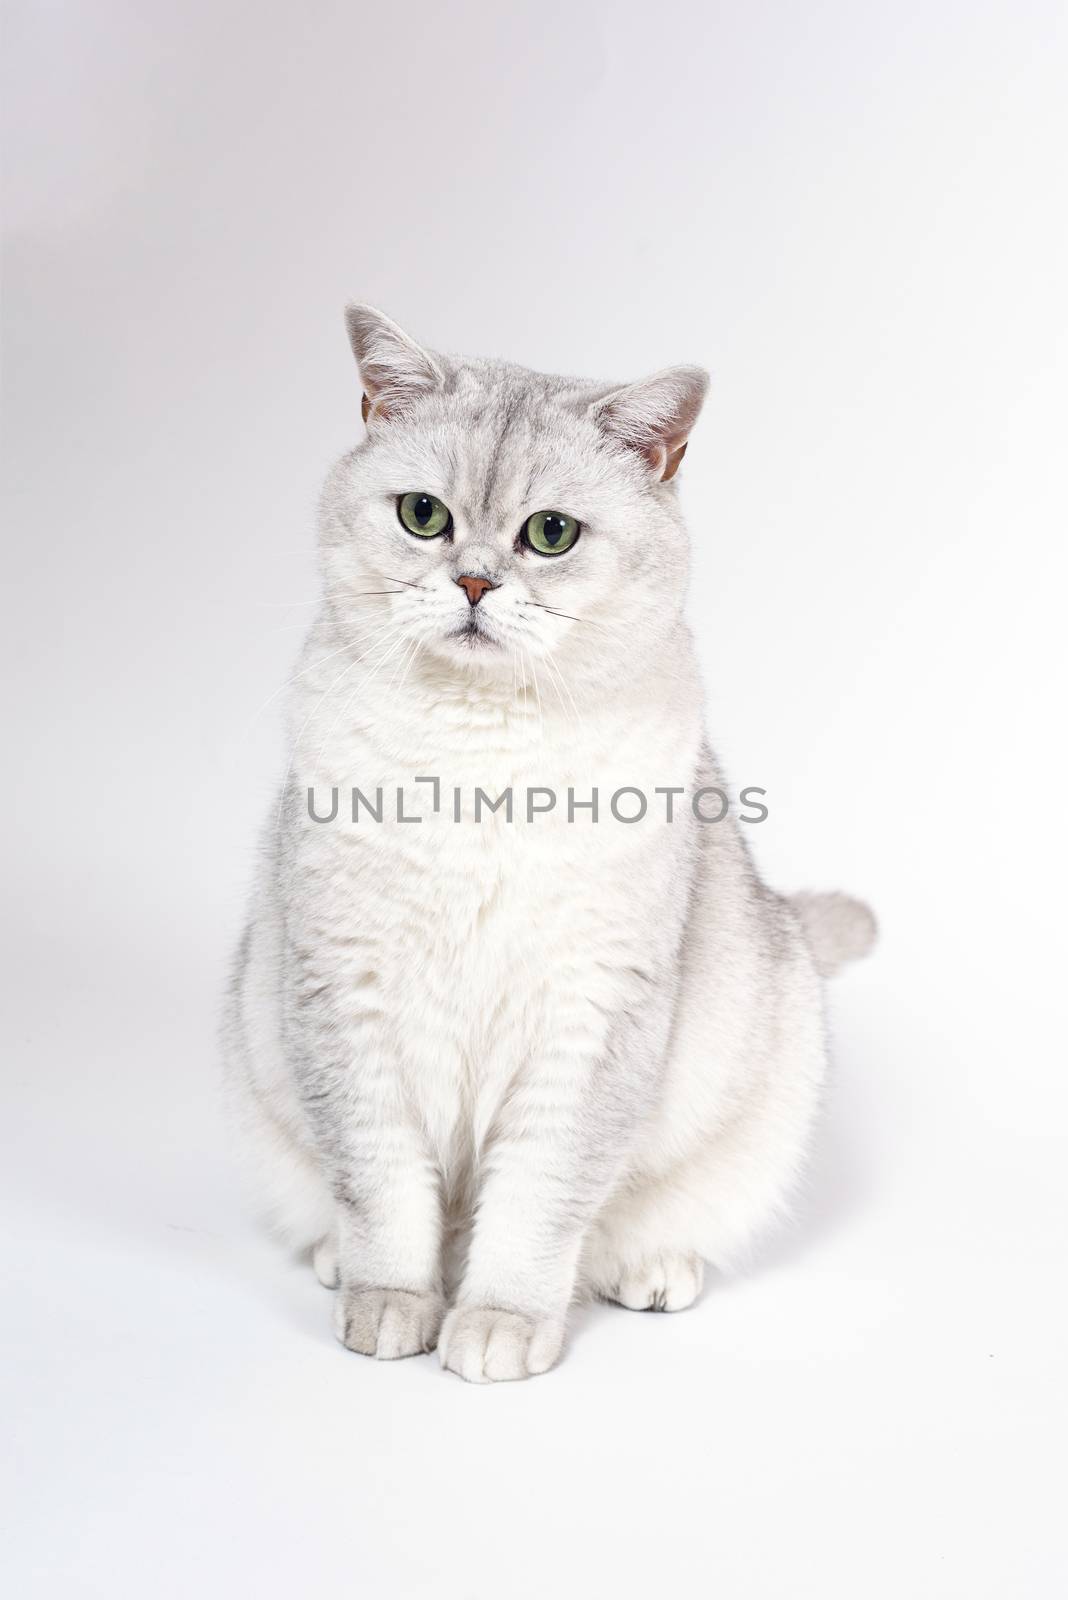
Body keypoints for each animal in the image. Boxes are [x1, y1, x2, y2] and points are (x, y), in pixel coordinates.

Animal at [223, 305, 876, 1382]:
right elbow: (385, 1191)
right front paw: (391, 1308)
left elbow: (535, 1204)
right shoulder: (347, 994)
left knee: (640, 1225)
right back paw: (338, 1261)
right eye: (423, 516)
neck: (483, 759)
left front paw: (498, 1325)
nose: (475, 581)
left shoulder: (592, 1012)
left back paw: (649, 1269)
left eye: (551, 534)